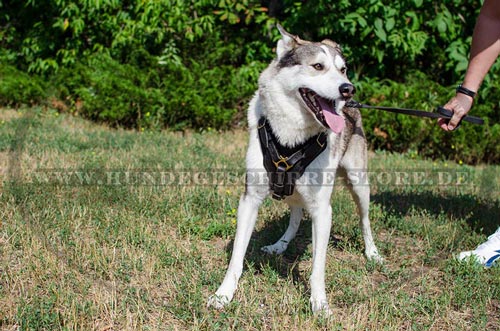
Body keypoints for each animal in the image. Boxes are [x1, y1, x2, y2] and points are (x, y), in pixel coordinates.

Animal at [208, 24, 382, 316]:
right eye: (318, 66)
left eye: (343, 69)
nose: (348, 88)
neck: (292, 137)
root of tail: (354, 107)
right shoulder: (249, 199)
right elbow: (236, 257)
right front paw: (224, 294)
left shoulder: (323, 209)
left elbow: (317, 268)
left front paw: (319, 304)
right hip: (293, 191)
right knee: (296, 215)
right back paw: (280, 244)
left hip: (359, 184)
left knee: (365, 221)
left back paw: (372, 253)